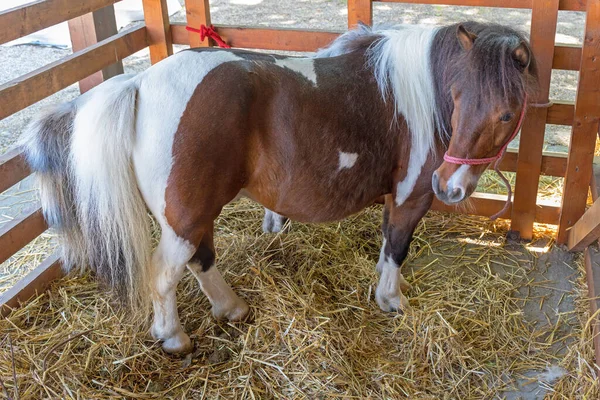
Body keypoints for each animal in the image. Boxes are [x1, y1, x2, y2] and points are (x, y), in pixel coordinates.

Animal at [21, 21, 536, 354]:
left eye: (506, 113)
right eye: (457, 99)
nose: (450, 187)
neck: (418, 96)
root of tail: (141, 83)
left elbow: (388, 245)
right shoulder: (412, 196)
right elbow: (396, 247)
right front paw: (391, 300)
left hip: (194, 214)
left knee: (202, 260)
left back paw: (231, 308)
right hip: (184, 218)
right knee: (166, 273)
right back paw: (173, 338)